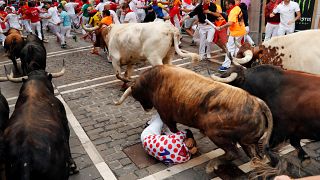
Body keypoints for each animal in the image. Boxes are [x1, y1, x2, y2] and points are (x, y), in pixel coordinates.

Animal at [116, 65, 278, 173]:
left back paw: (212, 165)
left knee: (233, 153)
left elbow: (173, 129)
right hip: (247, 141)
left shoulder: (167, 116)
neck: (155, 80)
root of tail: (258, 102)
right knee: (254, 156)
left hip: (215, 133)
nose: (147, 108)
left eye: (136, 96)